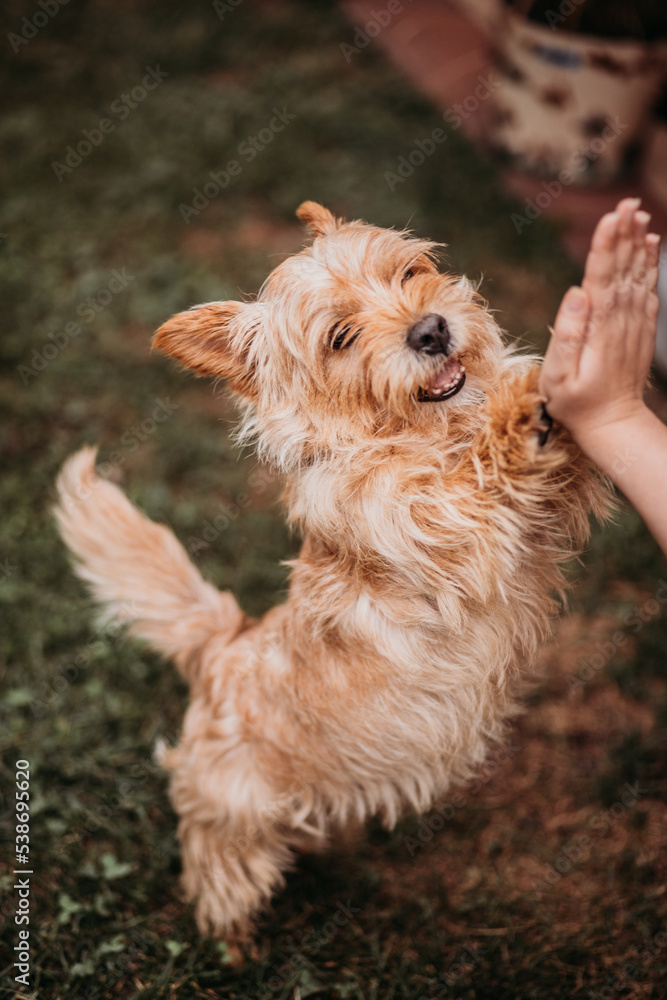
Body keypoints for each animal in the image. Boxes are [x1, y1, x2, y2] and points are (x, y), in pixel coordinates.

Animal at [57, 201, 612, 952]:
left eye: (410, 272)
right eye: (340, 338)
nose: (431, 330)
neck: (423, 433)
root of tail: (219, 646)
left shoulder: (547, 514)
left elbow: (561, 470)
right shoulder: (444, 524)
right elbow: (475, 478)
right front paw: (526, 394)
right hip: (231, 824)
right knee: (219, 873)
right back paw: (236, 947)